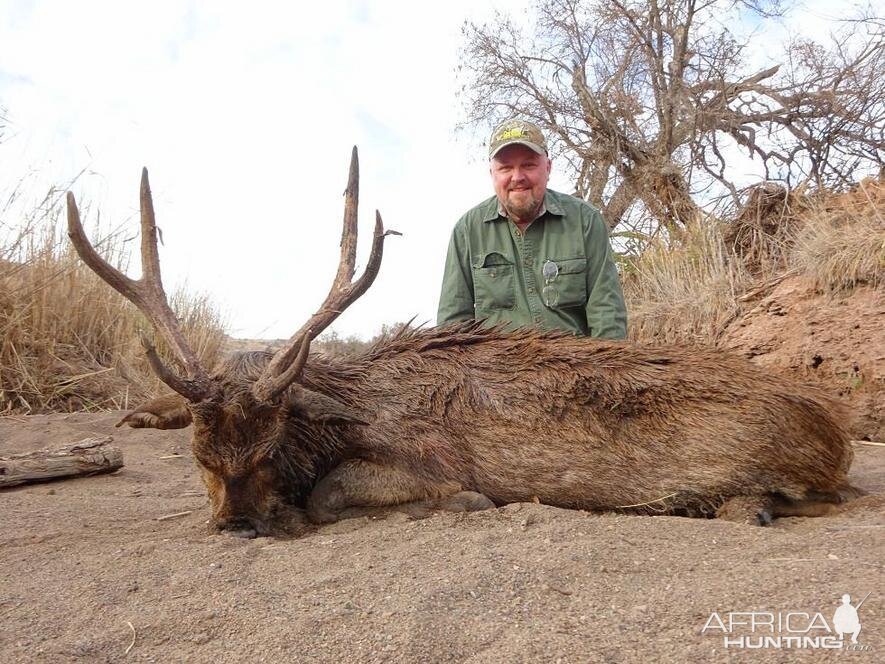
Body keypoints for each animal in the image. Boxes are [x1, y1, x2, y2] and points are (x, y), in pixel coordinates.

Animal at [67, 148, 856, 536]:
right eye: (199, 457)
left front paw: (466, 504)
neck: (341, 412)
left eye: (268, 448)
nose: (234, 527)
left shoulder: (425, 458)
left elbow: (329, 496)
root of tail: (837, 432)